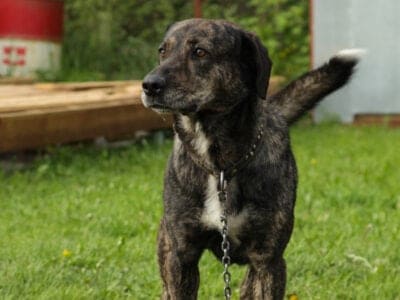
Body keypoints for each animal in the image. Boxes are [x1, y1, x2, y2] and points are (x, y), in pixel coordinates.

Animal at [141, 19, 362, 300]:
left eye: (200, 52)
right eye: (163, 51)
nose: (149, 85)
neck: (220, 166)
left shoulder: (267, 260)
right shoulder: (181, 258)